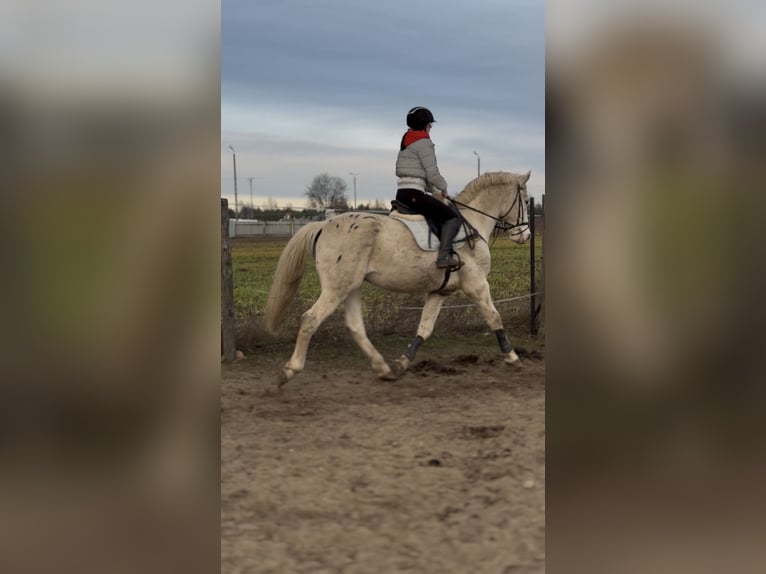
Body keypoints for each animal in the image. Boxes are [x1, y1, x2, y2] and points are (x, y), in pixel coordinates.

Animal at [264, 170, 532, 386]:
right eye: (526, 201)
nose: (526, 235)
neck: (472, 224)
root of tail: (322, 225)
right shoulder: (476, 285)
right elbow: (495, 318)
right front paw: (513, 358)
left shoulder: (440, 292)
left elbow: (425, 328)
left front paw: (402, 363)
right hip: (336, 289)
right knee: (310, 319)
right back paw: (289, 371)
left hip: (351, 288)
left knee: (355, 326)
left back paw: (384, 369)